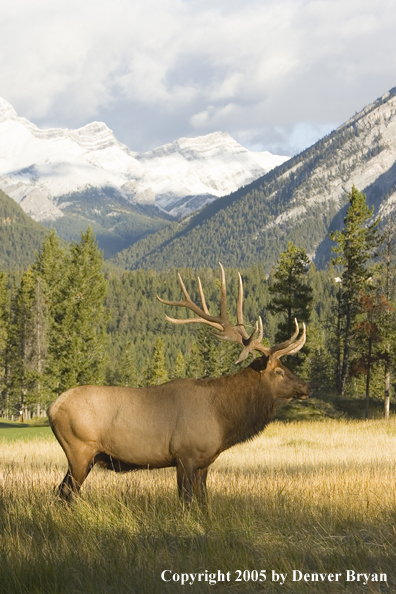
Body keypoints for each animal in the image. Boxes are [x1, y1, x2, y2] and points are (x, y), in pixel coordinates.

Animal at [48, 266, 310, 502]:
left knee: (62, 492)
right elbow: (186, 500)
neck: (224, 419)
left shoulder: (204, 462)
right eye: (279, 371)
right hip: (79, 450)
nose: (306, 386)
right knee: (65, 493)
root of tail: (52, 407)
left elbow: (203, 501)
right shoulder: (185, 455)